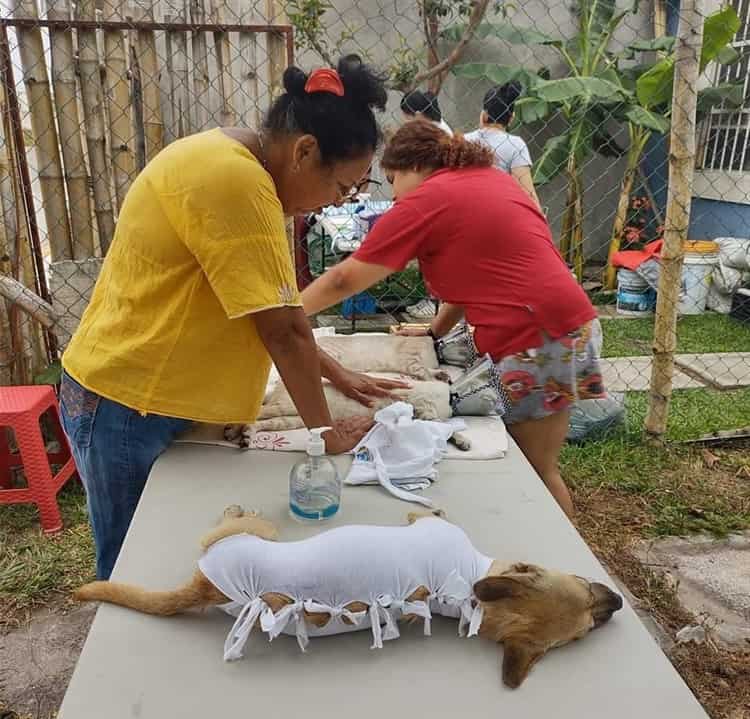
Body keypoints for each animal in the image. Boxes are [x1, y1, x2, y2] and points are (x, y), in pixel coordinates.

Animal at [73, 504, 624, 688]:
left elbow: (428, 511)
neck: (470, 590)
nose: (617, 605)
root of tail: (205, 585)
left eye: (579, 635)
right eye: (583, 587)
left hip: (246, 534)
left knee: (230, 521)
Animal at [226, 336, 502, 450]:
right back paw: (234, 429)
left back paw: (245, 436)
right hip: (286, 407)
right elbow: (445, 426)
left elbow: (446, 428)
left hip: (293, 419)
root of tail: (279, 387)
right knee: (257, 411)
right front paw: (462, 438)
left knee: (263, 422)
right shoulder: (423, 410)